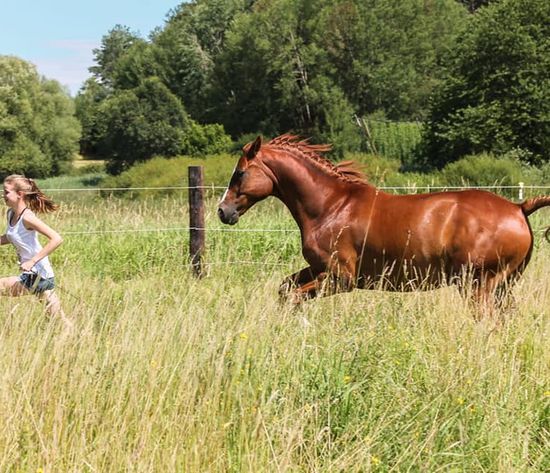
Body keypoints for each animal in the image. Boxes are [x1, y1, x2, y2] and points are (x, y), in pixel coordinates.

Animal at [219, 133, 550, 310]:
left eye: (240, 173)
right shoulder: (318, 268)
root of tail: (519, 208)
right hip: (502, 286)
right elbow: (285, 289)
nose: (223, 211)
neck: (331, 206)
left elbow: (294, 297)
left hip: (478, 286)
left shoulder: (341, 278)